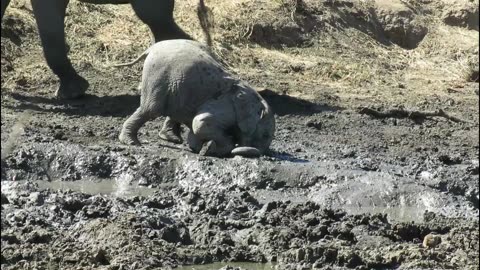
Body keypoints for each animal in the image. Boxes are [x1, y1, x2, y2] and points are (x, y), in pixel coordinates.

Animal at [120, 39, 276, 157]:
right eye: (265, 135)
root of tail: (152, 48)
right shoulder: (225, 106)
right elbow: (200, 123)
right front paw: (214, 149)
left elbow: (196, 129)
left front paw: (199, 148)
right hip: (158, 74)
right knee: (151, 109)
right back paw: (132, 143)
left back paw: (171, 138)